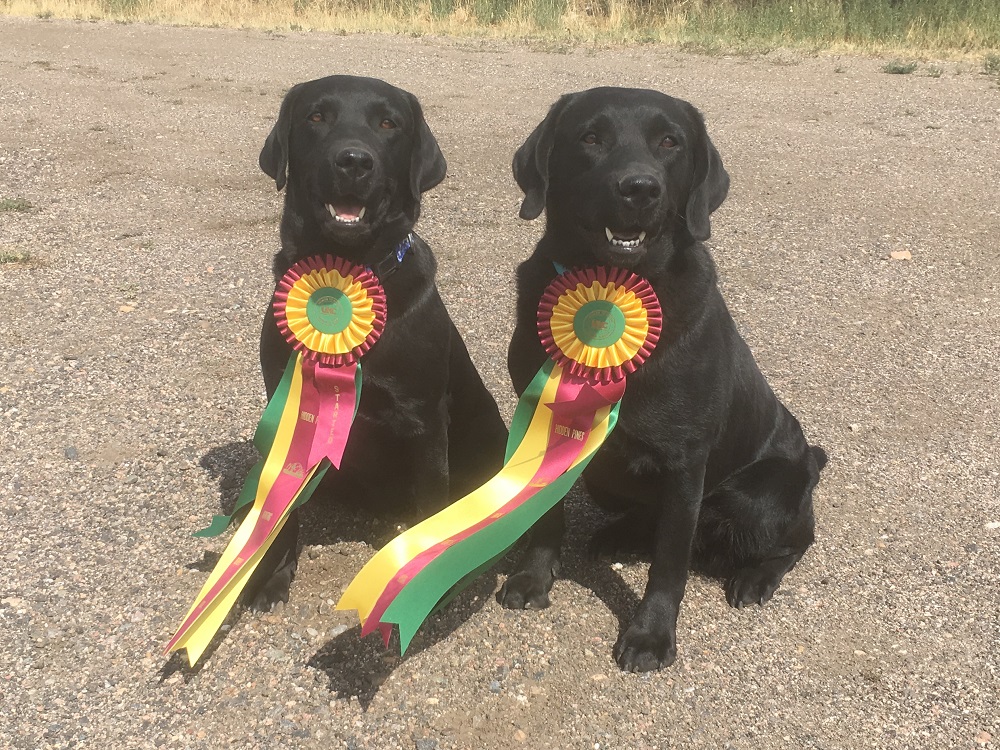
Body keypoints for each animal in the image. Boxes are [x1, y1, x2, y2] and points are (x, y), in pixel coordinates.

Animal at [241, 76, 508, 612]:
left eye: (388, 123)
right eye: (316, 117)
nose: (353, 160)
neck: (343, 276)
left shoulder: (424, 420)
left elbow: (432, 505)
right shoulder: (289, 408)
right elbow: (284, 513)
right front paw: (273, 576)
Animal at [500, 88, 828, 676]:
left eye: (670, 142)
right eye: (590, 137)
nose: (639, 187)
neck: (610, 296)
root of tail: (811, 460)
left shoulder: (685, 461)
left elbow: (670, 563)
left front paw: (651, 636)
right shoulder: (548, 425)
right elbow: (545, 517)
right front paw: (534, 576)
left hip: (758, 494)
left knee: (789, 544)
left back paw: (754, 577)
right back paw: (619, 536)